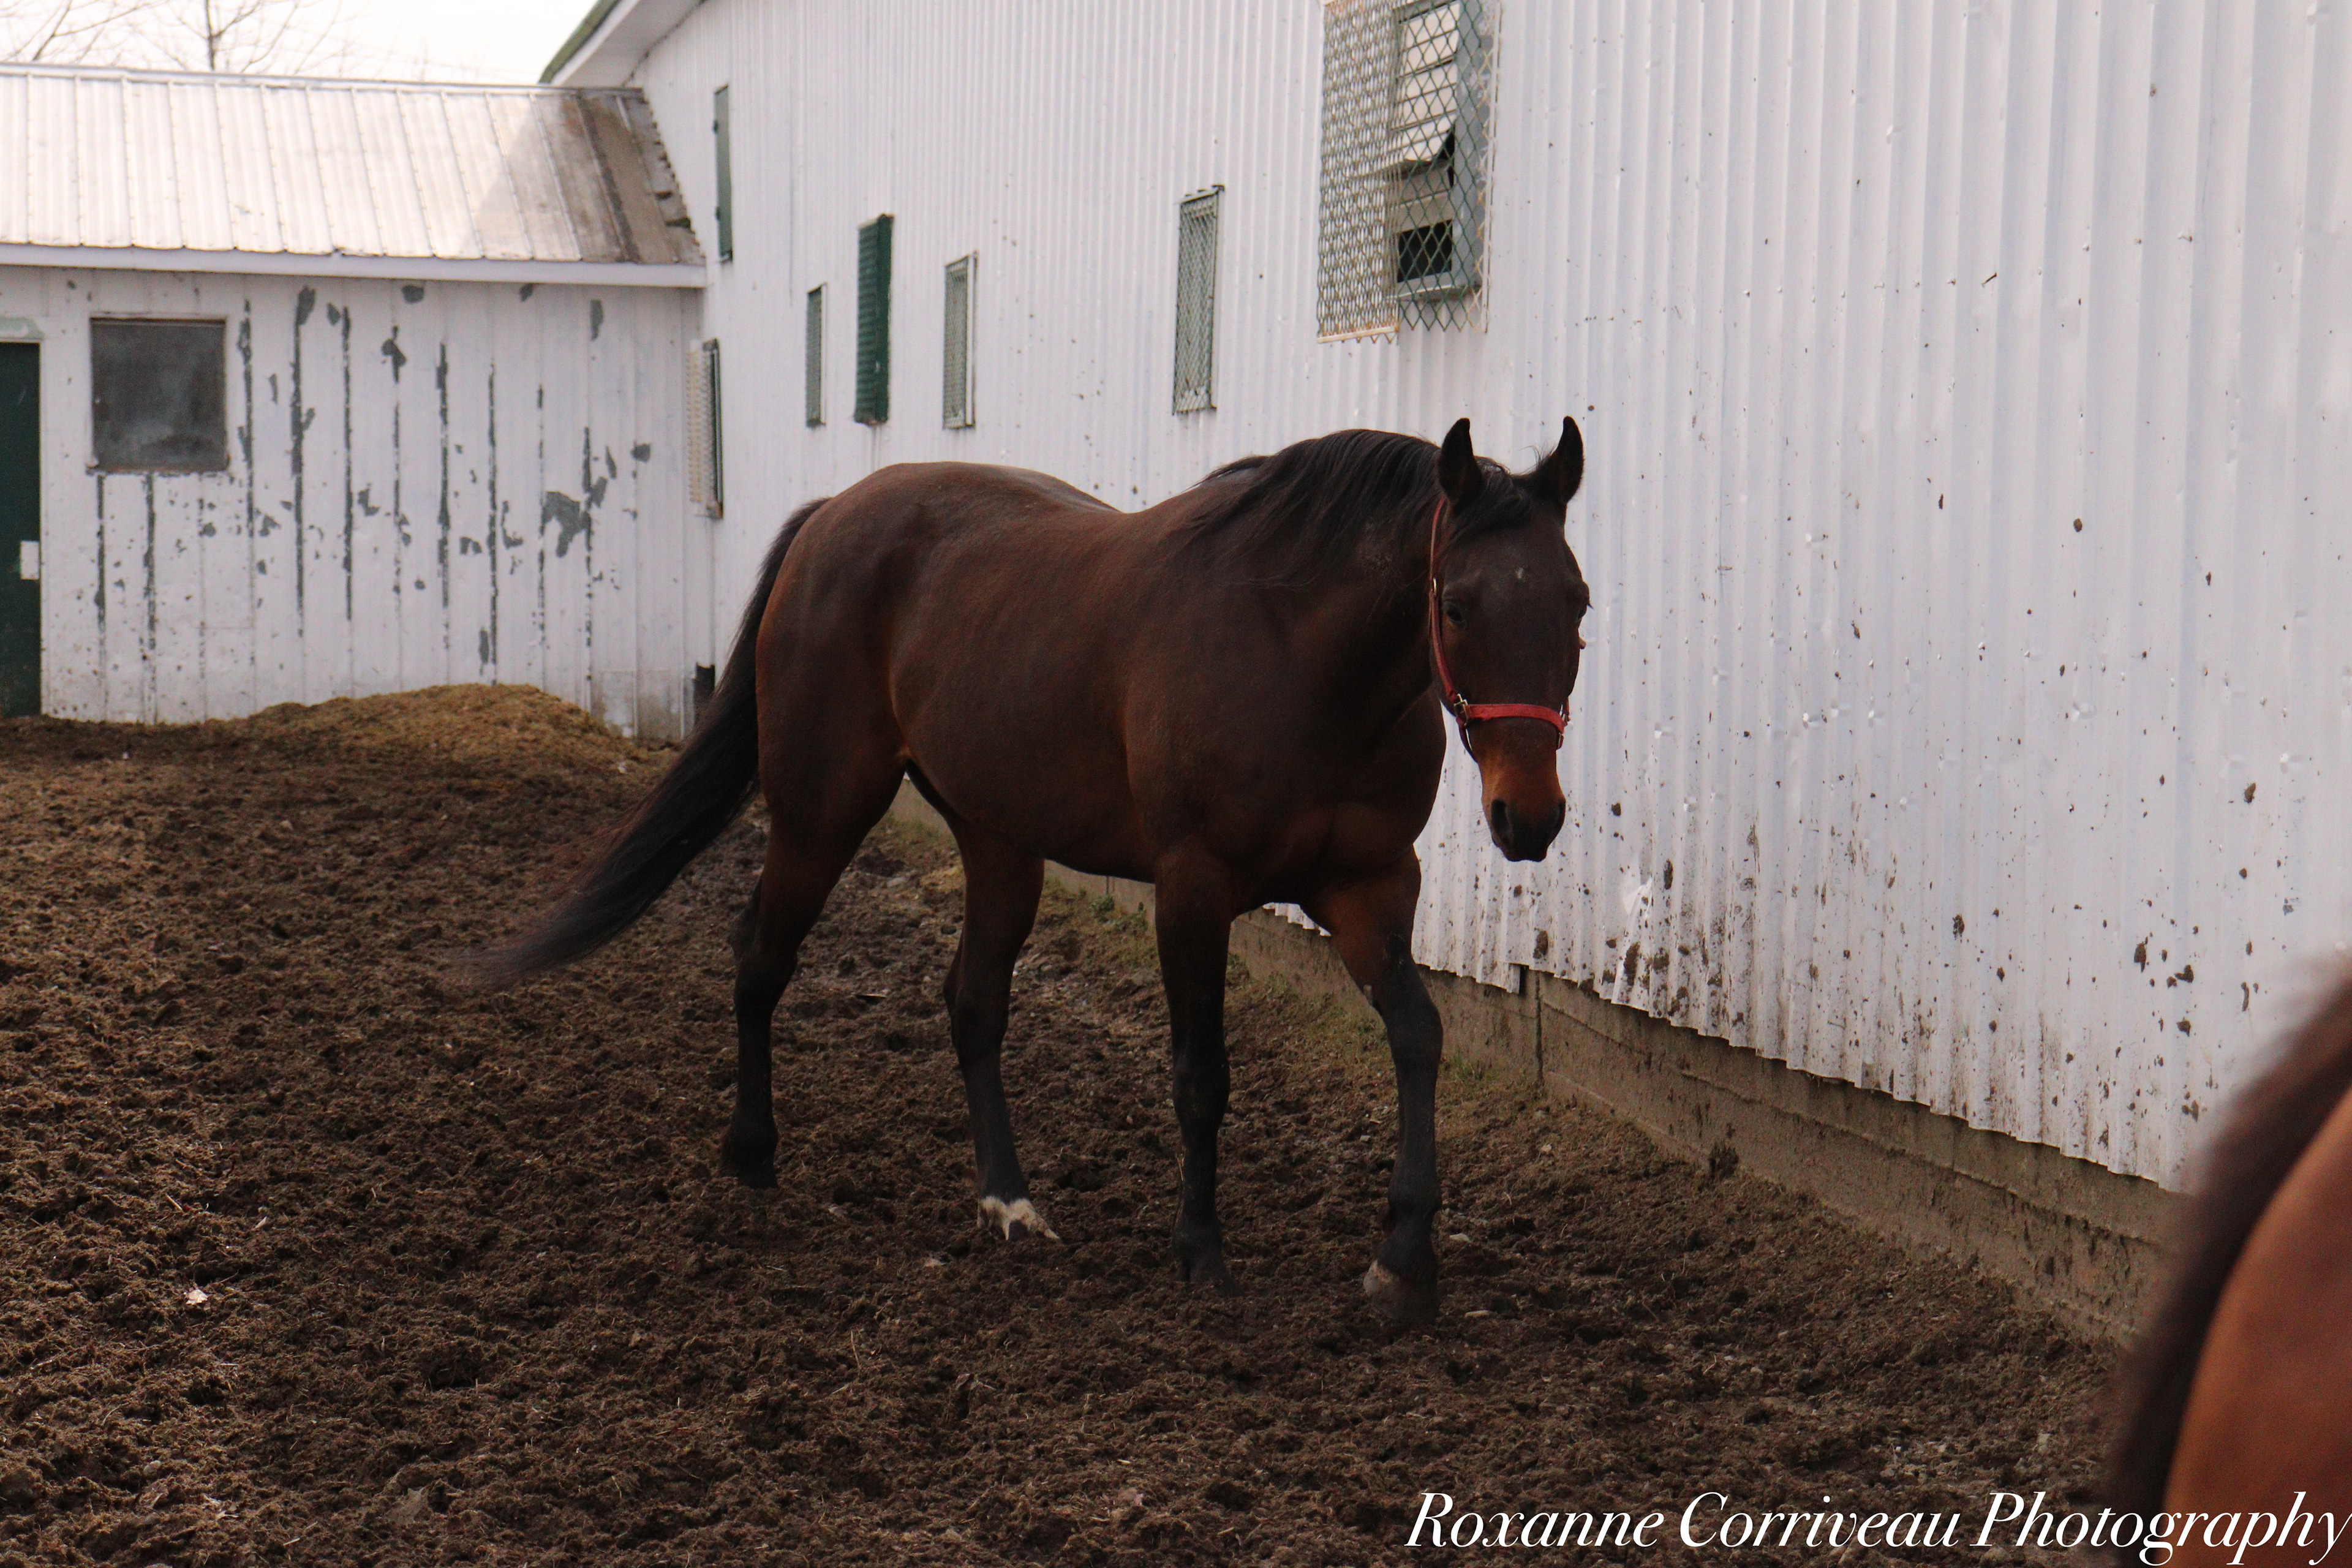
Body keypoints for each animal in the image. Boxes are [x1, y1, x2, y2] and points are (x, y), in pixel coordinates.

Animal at [476, 416, 1588, 1324]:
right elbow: (1201, 1073)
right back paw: (752, 1155)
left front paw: (1405, 1261)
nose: (1529, 817)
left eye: (1576, 603)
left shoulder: (1369, 888)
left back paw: (1007, 1201)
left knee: (972, 1001)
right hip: (822, 810)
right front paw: (1201, 1251)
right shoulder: (1194, 890)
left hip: (998, 841)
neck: (1298, 654)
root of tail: (835, 515)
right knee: (761, 956)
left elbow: (1419, 1039)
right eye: (1458, 605)